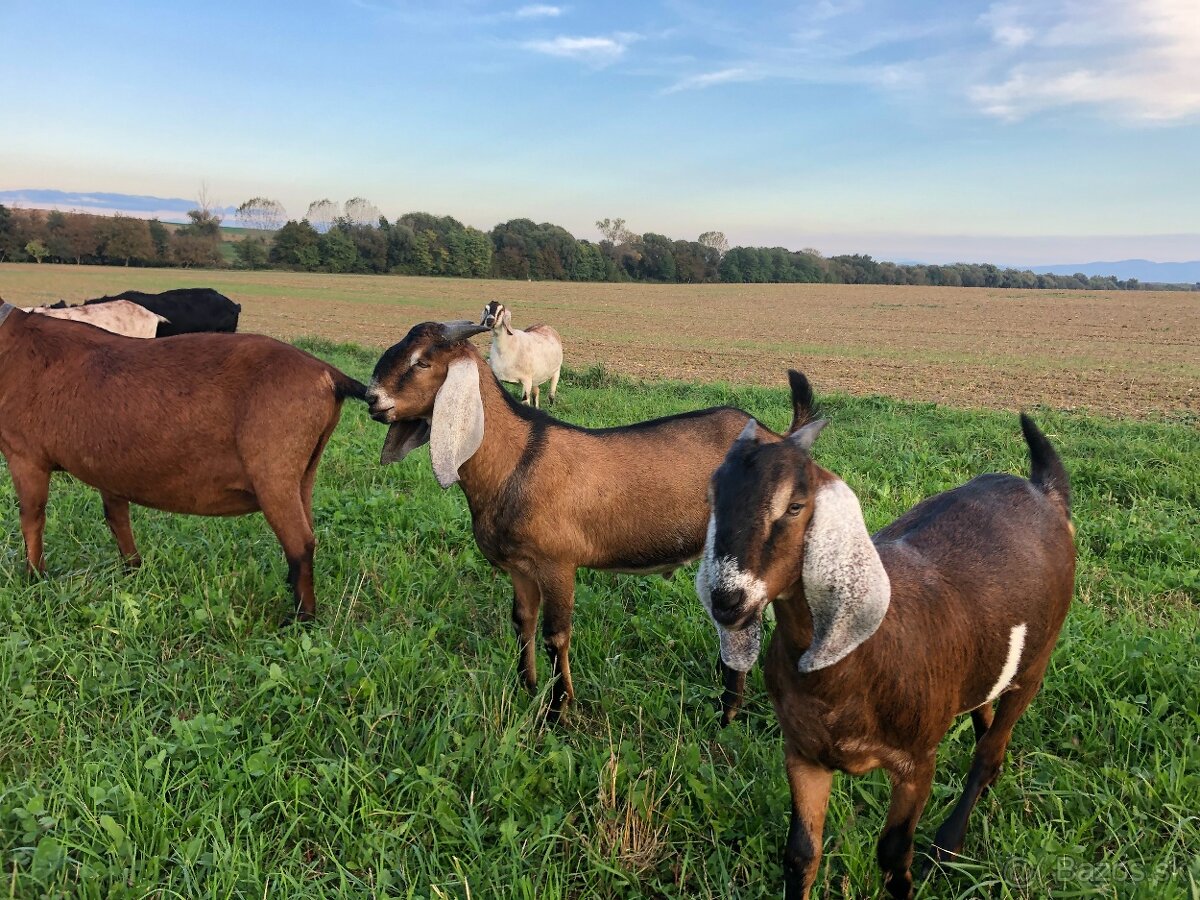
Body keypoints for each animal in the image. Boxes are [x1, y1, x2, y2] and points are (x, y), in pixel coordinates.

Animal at [364, 321, 806, 724]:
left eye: (423, 362)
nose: (372, 398)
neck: (518, 459)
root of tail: (781, 439)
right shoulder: (520, 568)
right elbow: (522, 623)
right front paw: (526, 688)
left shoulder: (557, 564)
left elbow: (556, 635)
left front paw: (558, 710)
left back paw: (728, 712)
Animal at [700, 372, 1075, 897]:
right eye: (712, 494)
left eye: (795, 505)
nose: (727, 600)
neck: (853, 663)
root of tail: (1045, 491)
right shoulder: (803, 754)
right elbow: (800, 855)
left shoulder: (917, 762)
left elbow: (894, 854)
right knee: (984, 717)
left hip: (1036, 663)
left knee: (989, 747)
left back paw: (948, 844)